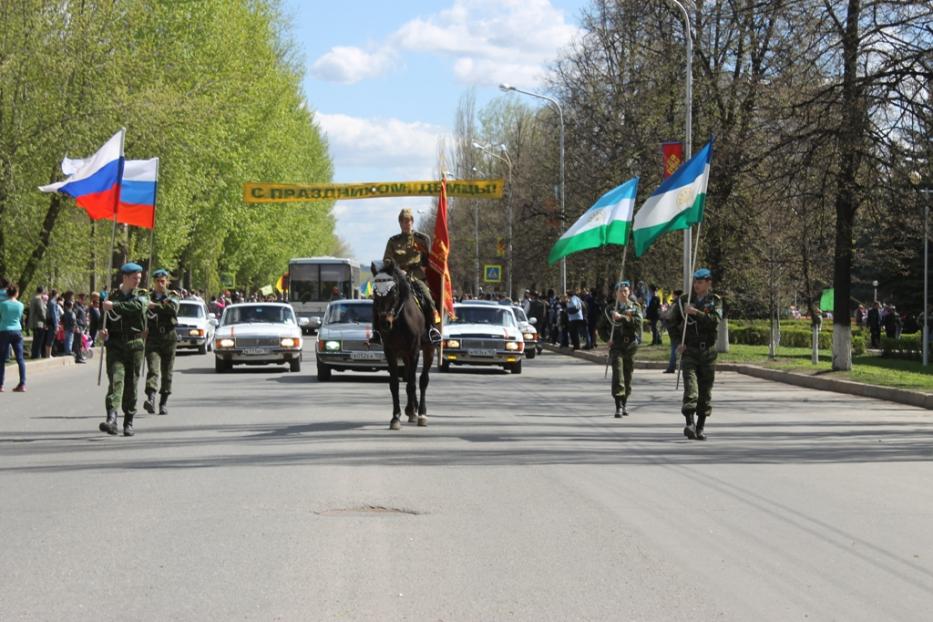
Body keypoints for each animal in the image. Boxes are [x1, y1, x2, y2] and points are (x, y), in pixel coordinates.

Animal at [370, 260, 436, 432]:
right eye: (374, 291)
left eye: (393, 290)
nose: (384, 323)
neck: (398, 321)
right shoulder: (390, 352)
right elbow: (395, 384)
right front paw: (396, 417)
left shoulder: (414, 351)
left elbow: (413, 383)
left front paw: (418, 414)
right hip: (405, 355)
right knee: (409, 378)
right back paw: (411, 410)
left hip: (428, 349)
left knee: (422, 380)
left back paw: (420, 412)